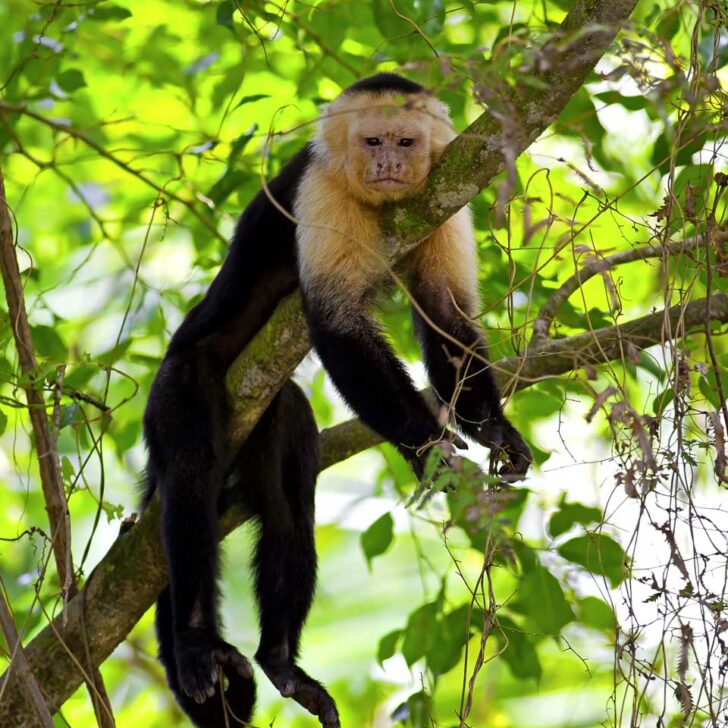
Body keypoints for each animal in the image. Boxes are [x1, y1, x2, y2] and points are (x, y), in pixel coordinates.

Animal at [142, 72, 530, 728]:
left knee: (288, 502)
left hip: (273, 412)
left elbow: (445, 314)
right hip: (175, 387)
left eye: (405, 140)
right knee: (191, 473)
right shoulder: (319, 189)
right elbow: (337, 323)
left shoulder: (444, 198)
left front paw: (493, 428)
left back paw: (280, 662)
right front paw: (426, 445)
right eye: (372, 139)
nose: (389, 163)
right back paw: (196, 642)